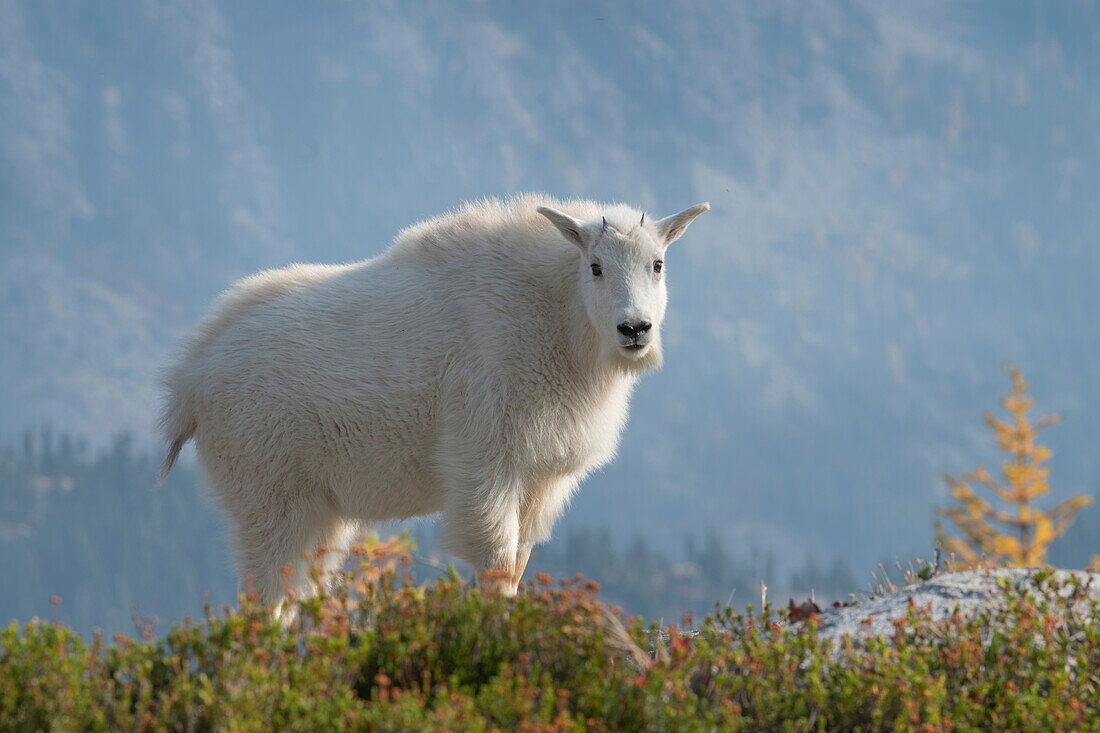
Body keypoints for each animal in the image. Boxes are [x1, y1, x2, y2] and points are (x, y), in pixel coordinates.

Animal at [160, 192, 712, 611]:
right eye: (595, 267)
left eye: (657, 264)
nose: (634, 329)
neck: (558, 318)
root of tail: (189, 379)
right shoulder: (485, 456)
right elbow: (495, 561)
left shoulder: (538, 477)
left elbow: (519, 563)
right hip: (266, 492)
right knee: (264, 595)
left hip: (315, 507)